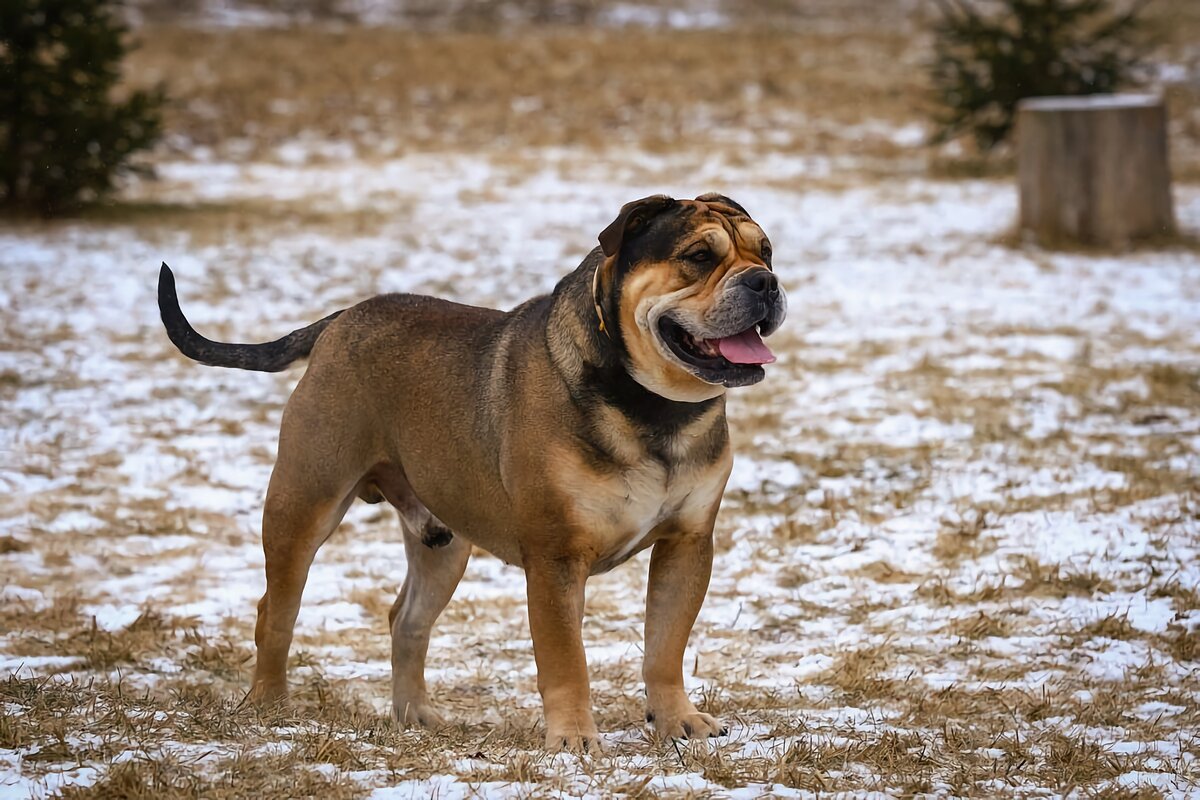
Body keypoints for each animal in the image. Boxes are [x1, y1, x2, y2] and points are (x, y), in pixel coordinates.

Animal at [154, 194, 782, 753]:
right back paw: (268, 706)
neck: (653, 407)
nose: (765, 283)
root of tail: (341, 320)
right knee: (275, 611)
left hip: (444, 543)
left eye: (766, 252)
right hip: (303, 503)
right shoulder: (556, 559)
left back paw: (415, 716)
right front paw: (573, 740)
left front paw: (678, 722)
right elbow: (566, 659)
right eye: (698, 256)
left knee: (407, 621)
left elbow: (665, 647)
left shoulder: (686, 545)